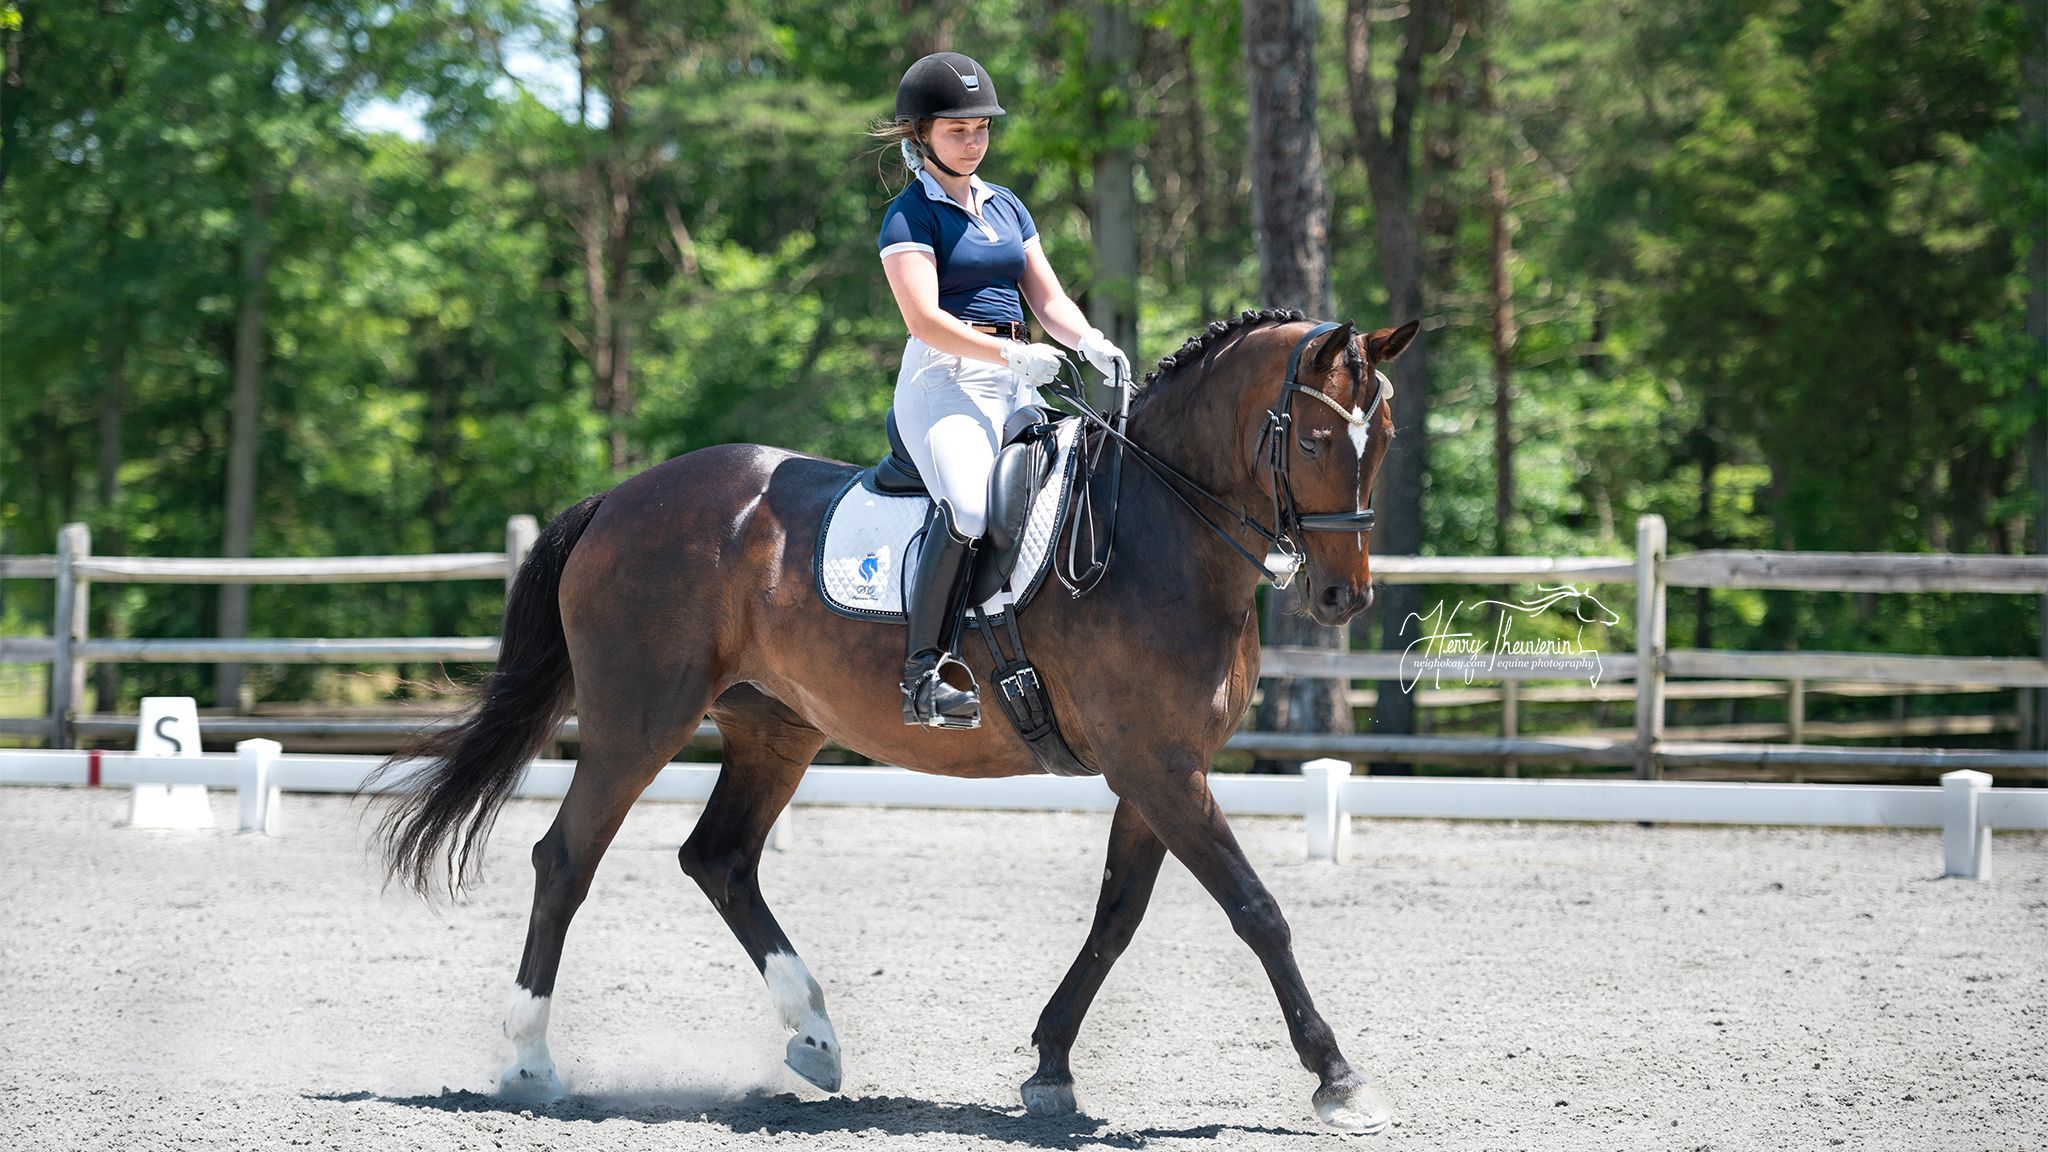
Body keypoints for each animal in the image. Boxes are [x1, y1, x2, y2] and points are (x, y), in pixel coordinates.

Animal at [371, 307, 1420, 1134]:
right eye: (1316, 441)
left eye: (1385, 438)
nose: (1342, 598)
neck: (1158, 533)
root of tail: (619, 499)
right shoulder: (1159, 766)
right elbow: (1257, 910)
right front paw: (1340, 1080)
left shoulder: (1159, 769)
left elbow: (1118, 917)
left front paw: (1050, 1067)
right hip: (639, 719)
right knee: (567, 859)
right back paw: (531, 1065)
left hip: (776, 729)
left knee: (720, 859)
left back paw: (815, 1039)